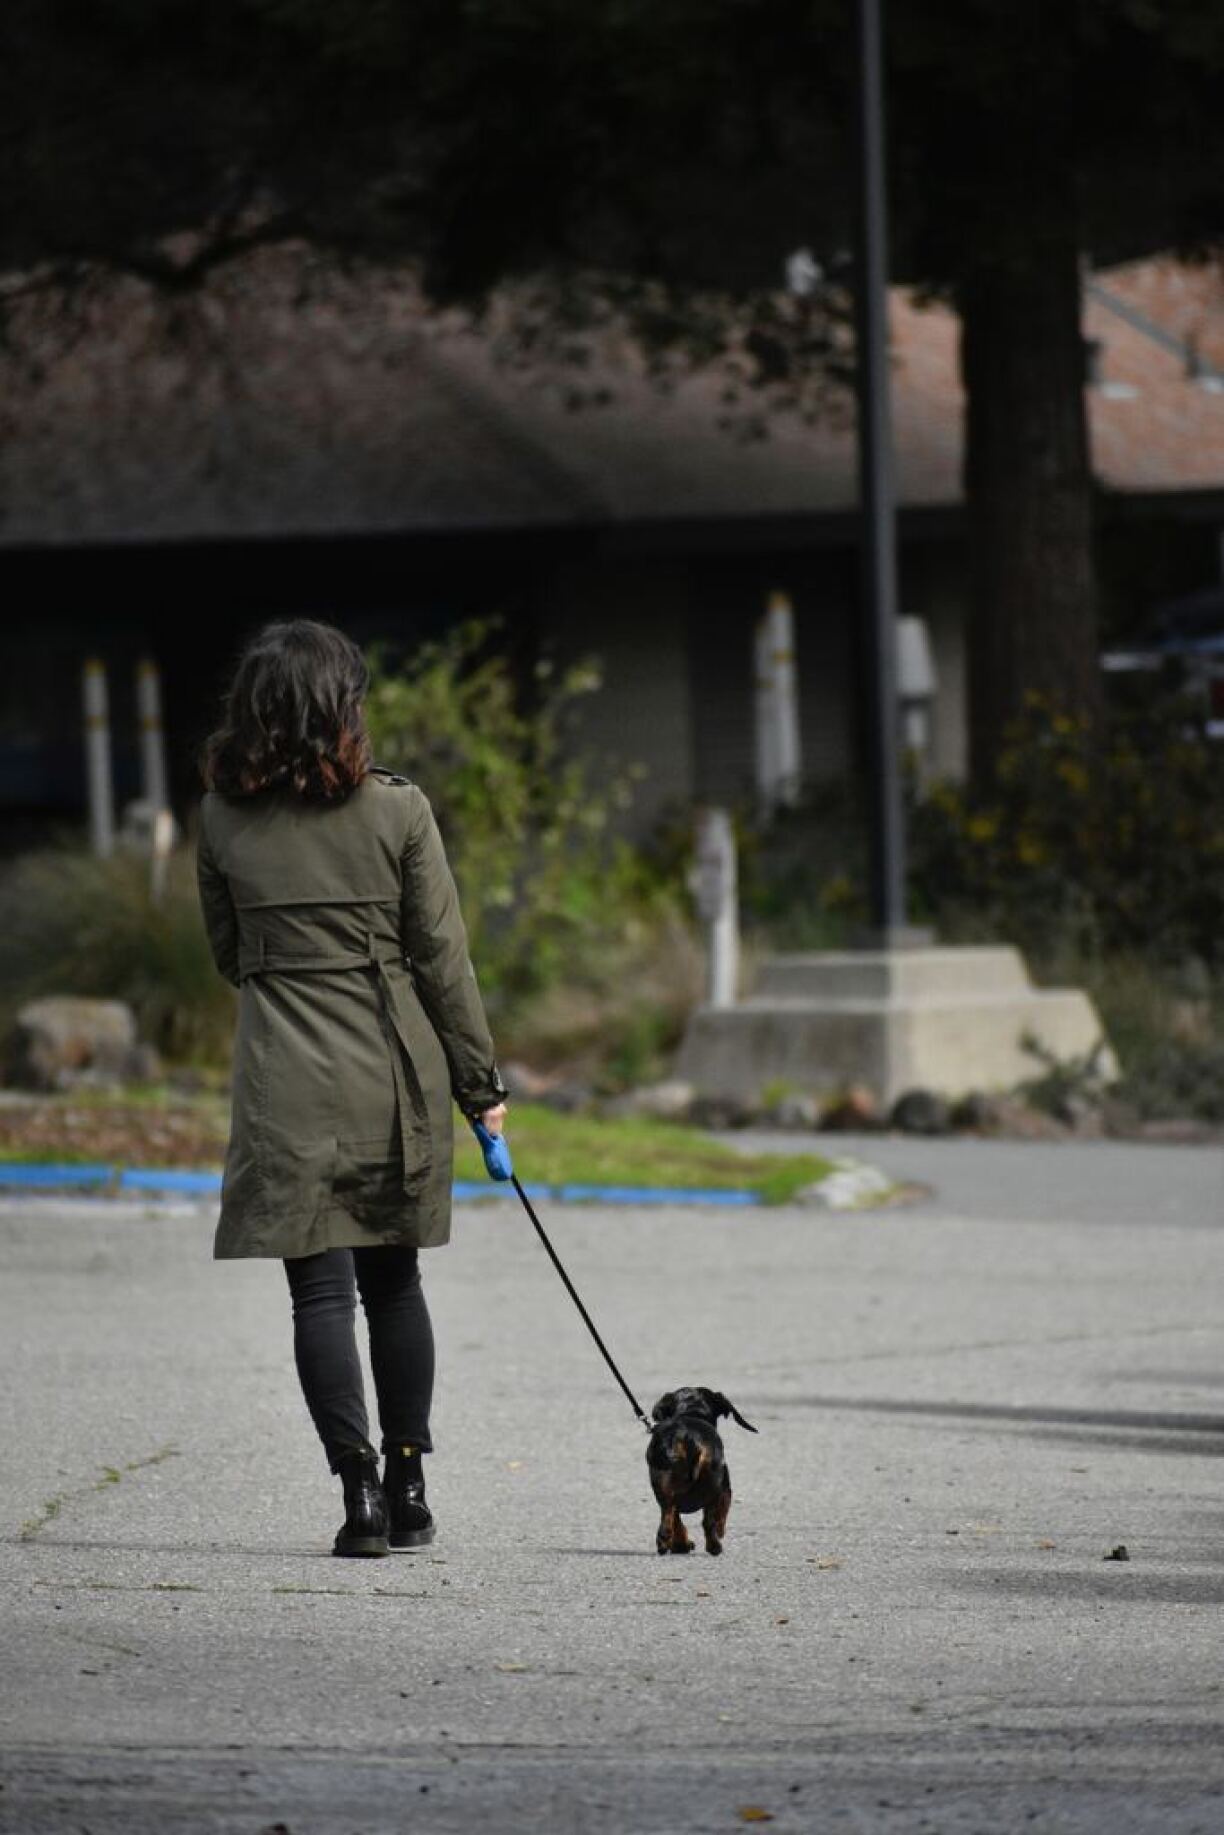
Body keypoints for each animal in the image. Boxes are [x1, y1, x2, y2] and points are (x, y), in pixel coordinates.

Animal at [647, 1387, 758, 1556]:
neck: (690, 1411)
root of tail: (685, 1436)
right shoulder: (725, 1490)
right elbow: (722, 1512)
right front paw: (719, 1531)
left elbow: (676, 1519)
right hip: (714, 1486)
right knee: (707, 1522)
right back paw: (714, 1546)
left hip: (662, 1487)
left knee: (668, 1516)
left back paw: (670, 1543)